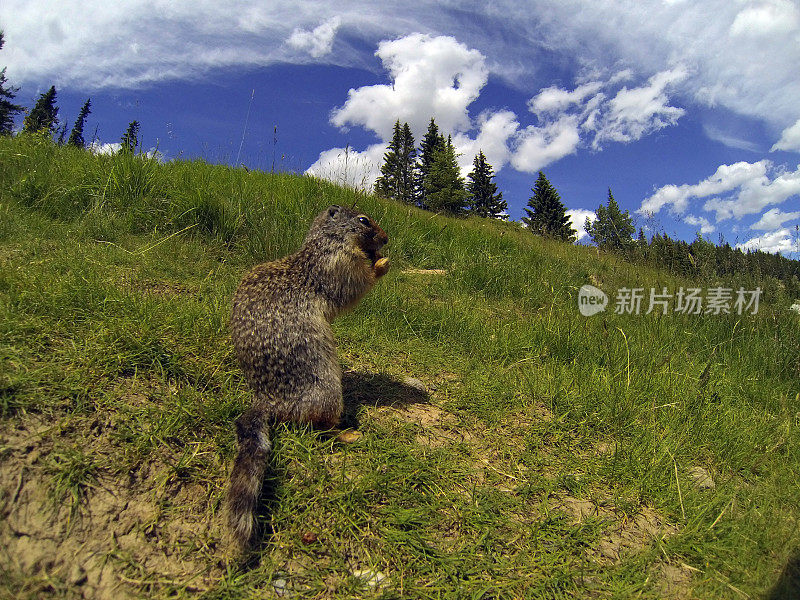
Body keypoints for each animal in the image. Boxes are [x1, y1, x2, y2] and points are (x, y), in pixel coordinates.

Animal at [227, 205, 390, 548]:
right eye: (364, 220)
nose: (385, 238)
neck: (326, 243)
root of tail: (265, 401)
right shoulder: (339, 263)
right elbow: (357, 283)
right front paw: (382, 263)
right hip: (327, 392)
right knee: (317, 430)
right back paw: (347, 434)